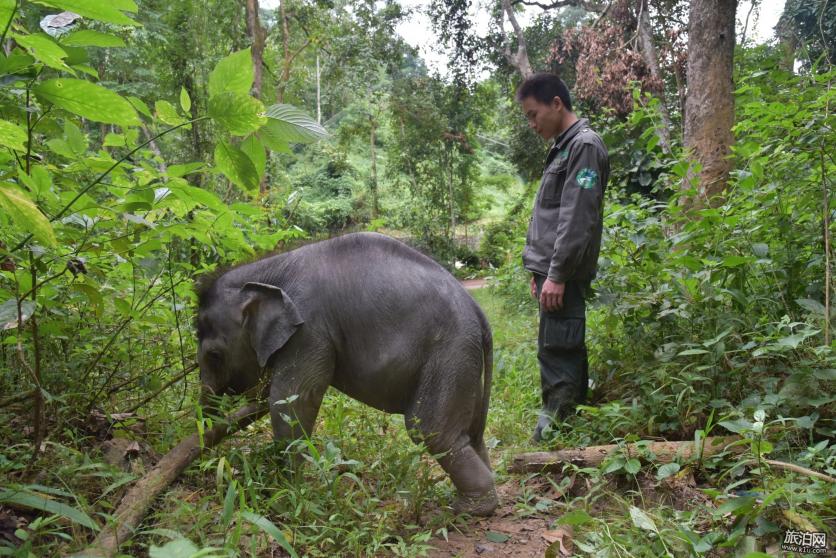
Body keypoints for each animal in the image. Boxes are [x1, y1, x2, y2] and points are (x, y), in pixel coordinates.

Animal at [196, 232, 496, 516]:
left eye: (214, 356)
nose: (207, 465)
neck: (266, 269)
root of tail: (479, 313)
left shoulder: (309, 330)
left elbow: (290, 402)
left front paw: (284, 498)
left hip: (449, 354)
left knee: (430, 430)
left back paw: (468, 509)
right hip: (464, 361)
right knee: (470, 432)